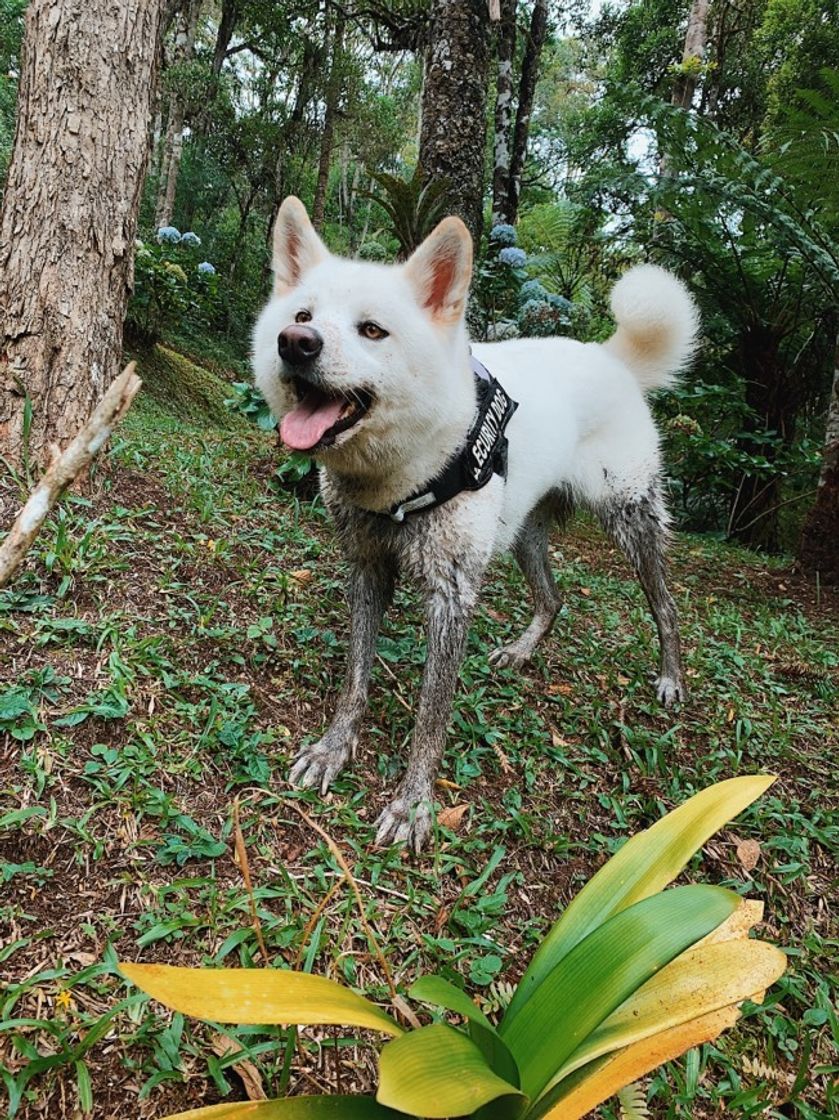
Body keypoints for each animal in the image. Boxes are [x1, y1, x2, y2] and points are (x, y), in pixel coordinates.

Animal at [252, 199, 698, 846]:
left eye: (372, 330)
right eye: (302, 315)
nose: (295, 343)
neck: (402, 478)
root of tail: (612, 357)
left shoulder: (452, 596)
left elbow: (430, 718)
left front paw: (413, 804)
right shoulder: (367, 570)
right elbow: (355, 678)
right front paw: (335, 748)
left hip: (630, 521)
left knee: (664, 606)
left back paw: (670, 678)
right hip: (524, 533)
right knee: (553, 597)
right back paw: (522, 651)